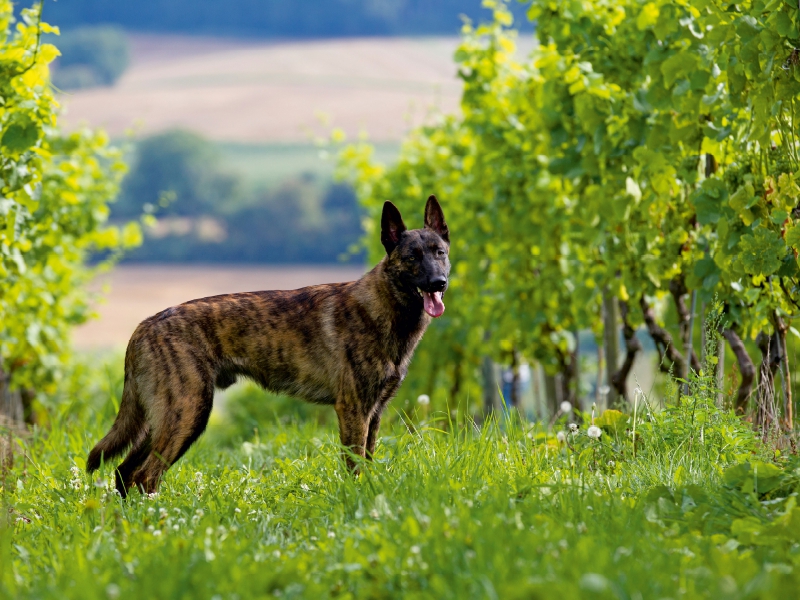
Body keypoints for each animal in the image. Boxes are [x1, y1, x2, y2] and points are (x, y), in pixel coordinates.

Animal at [89, 195, 450, 494]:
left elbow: (368, 464)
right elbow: (355, 468)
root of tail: (145, 326)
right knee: (145, 476)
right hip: (187, 413)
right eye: (412, 257)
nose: (439, 282)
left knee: (123, 473)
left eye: (440, 253)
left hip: (163, 418)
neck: (383, 306)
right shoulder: (354, 411)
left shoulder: (373, 414)